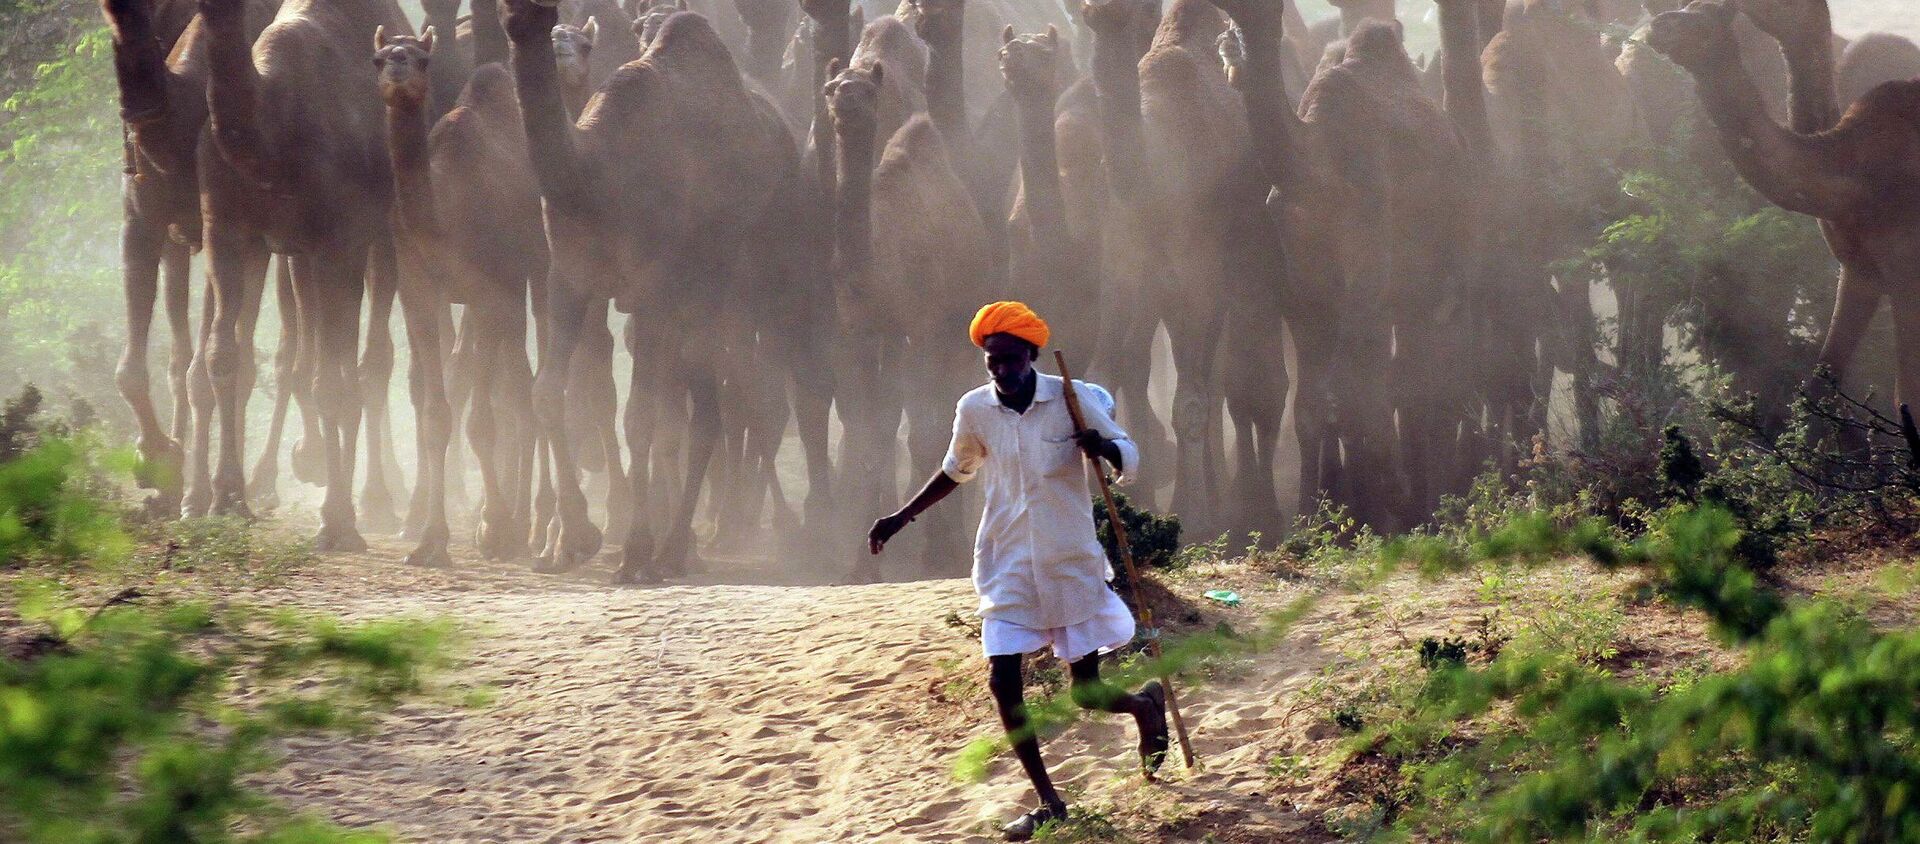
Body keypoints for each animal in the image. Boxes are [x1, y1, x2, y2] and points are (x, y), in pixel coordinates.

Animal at [503, 1, 794, 579]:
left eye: (578, 37)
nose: (544, 35)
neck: (595, 176)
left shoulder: (652, 284)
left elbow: (639, 418)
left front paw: (631, 552)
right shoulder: (568, 277)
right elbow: (548, 393)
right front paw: (577, 537)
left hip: (729, 279)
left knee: (724, 401)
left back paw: (680, 547)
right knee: (702, 404)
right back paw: (678, 544)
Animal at [1643, 2, 1920, 412]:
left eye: (1704, 21)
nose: (1658, 25)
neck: (1852, 169)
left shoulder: (1907, 272)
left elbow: (1907, 398)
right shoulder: (1859, 271)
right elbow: (1821, 381)